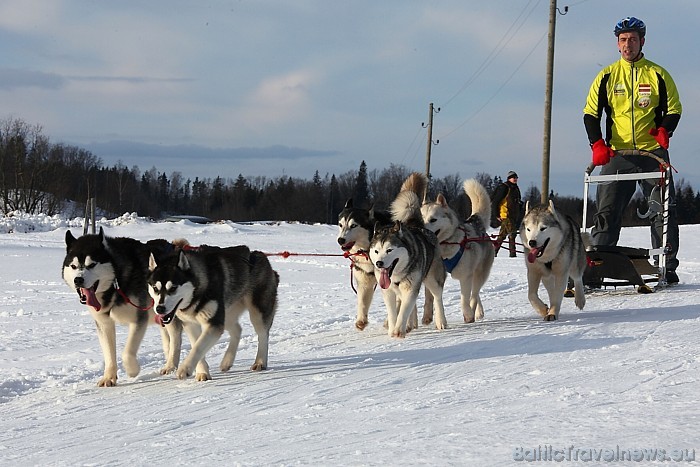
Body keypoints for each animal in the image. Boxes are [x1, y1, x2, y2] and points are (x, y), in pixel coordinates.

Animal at [62, 229, 182, 388]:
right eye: (73, 266)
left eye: (92, 264)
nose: (78, 280)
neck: (115, 284)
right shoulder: (104, 324)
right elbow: (109, 353)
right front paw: (109, 377)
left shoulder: (138, 319)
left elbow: (127, 352)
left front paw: (132, 370)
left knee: (176, 335)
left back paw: (171, 364)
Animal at [148, 245, 278, 380]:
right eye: (155, 288)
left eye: (173, 288)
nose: (160, 308)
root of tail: (259, 255)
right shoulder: (190, 324)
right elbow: (196, 345)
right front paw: (202, 372)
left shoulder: (213, 323)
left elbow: (198, 347)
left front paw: (185, 369)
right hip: (227, 315)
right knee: (237, 329)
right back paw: (227, 361)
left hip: (257, 313)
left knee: (262, 335)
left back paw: (260, 362)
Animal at [370, 174, 446, 338]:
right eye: (376, 251)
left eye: (389, 250)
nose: (379, 263)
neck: (397, 274)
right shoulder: (388, 291)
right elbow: (393, 312)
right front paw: (393, 329)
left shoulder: (411, 289)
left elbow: (404, 310)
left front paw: (399, 330)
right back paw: (411, 325)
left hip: (432, 278)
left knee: (437, 297)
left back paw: (441, 321)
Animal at [418, 177, 494, 324]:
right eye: (421, 219)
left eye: (433, 220)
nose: (422, 231)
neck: (443, 248)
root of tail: (475, 222)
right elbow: (430, 297)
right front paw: (428, 317)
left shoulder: (465, 276)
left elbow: (464, 300)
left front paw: (468, 314)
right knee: (475, 293)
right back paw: (478, 311)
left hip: (480, 273)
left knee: (474, 293)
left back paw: (473, 312)